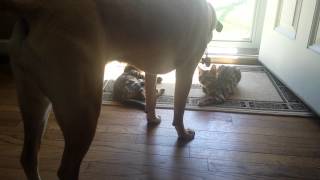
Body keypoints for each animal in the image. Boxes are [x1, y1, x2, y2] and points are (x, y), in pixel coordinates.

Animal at [3, 0, 222, 179]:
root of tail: (39, 11)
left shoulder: (150, 71)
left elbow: (151, 97)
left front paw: (152, 118)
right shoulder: (185, 71)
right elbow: (179, 110)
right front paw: (183, 134)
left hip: (35, 104)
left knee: (28, 158)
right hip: (83, 113)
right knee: (66, 169)